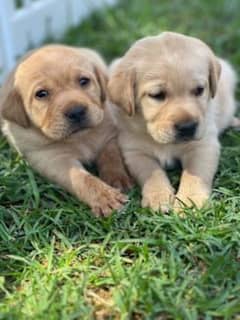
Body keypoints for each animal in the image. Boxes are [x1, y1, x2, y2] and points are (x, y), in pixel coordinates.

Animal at [0, 43, 131, 216]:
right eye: (41, 94)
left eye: (84, 81)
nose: (76, 112)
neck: (80, 137)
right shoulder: (52, 159)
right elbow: (80, 178)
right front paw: (104, 197)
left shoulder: (109, 136)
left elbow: (112, 157)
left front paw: (117, 179)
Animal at [108, 31, 238, 212]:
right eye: (157, 95)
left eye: (199, 90)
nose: (188, 127)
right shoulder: (134, 151)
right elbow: (152, 172)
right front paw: (158, 197)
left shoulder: (203, 146)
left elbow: (194, 174)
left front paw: (190, 202)